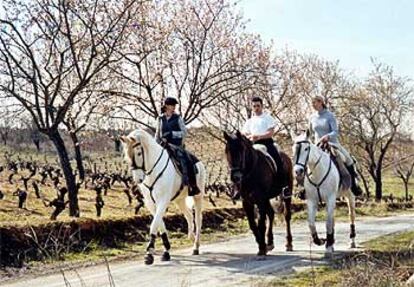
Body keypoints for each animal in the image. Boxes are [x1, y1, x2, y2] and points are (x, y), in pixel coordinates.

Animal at [120, 128, 206, 266]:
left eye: (138, 153)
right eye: (126, 156)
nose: (138, 179)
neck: (152, 170)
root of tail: (198, 162)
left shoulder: (163, 201)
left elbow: (154, 224)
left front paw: (149, 254)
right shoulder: (151, 203)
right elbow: (160, 224)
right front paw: (166, 251)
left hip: (198, 196)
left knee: (198, 219)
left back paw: (196, 246)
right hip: (179, 200)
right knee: (188, 215)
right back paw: (191, 236)